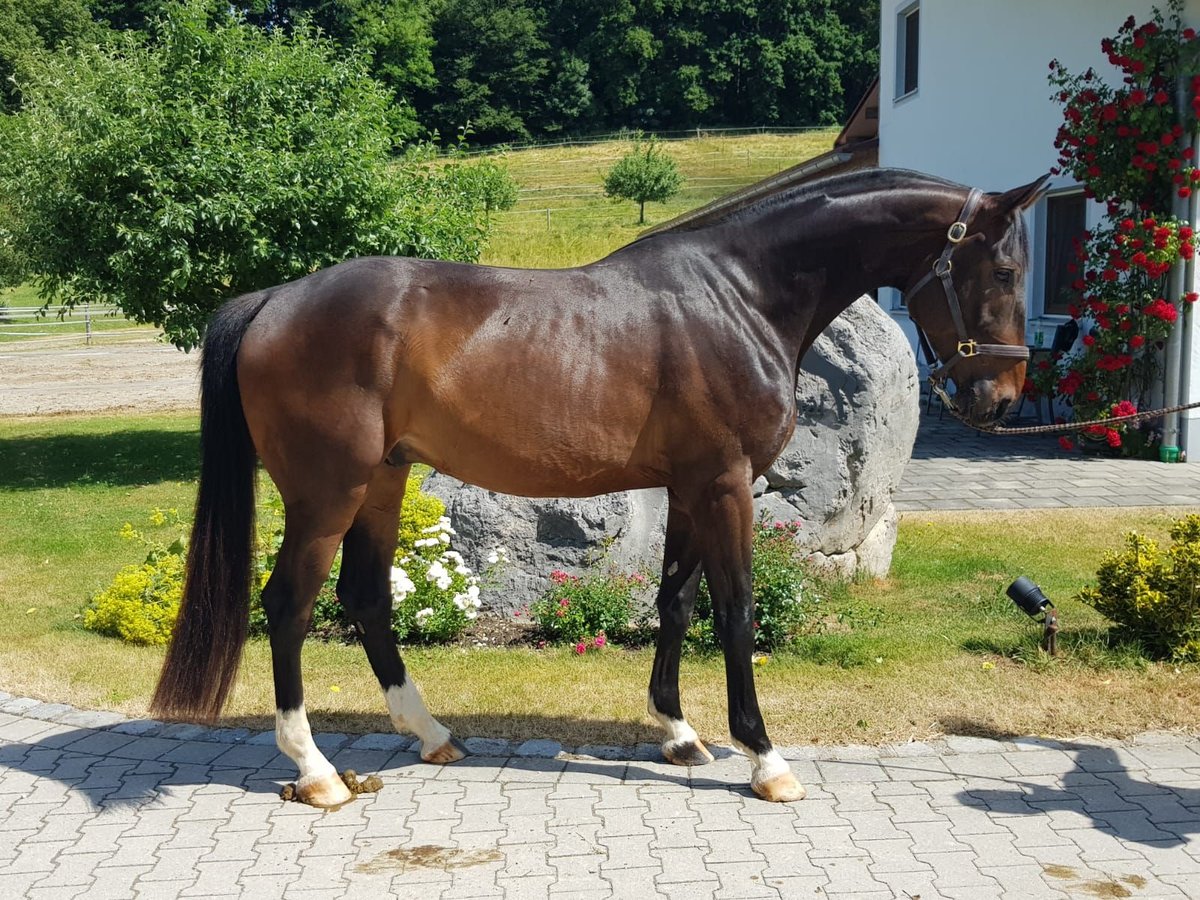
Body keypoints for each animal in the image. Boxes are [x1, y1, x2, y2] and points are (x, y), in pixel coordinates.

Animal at [150, 165, 1046, 806]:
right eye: (1003, 268)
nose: (1001, 399)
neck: (739, 296)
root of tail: (274, 299)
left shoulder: (689, 488)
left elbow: (676, 602)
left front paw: (680, 733)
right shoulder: (725, 485)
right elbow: (737, 611)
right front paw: (765, 757)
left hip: (383, 481)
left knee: (365, 596)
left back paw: (430, 733)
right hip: (327, 493)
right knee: (288, 606)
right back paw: (316, 771)